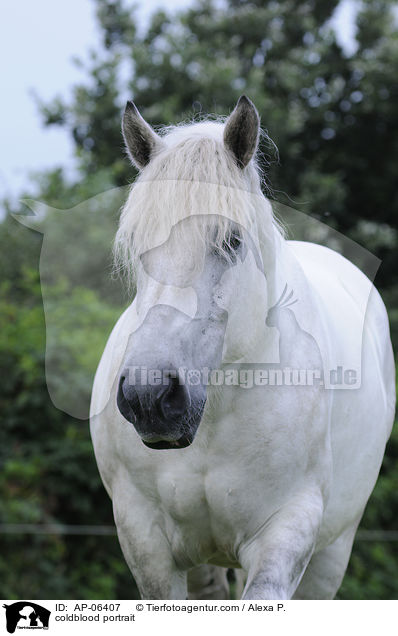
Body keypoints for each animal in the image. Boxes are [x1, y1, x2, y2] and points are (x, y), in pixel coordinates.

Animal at [89, 97, 394, 600]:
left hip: (332, 552)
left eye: (231, 241)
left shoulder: (284, 537)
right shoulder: (147, 545)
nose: (149, 396)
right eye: (137, 245)